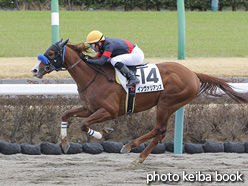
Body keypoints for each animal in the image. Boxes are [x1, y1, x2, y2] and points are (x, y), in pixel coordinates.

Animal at [31, 39, 248, 167]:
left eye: (51, 53)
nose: (35, 70)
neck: (93, 76)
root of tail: (193, 74)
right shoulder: (89, 108)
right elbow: (66, 114)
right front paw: (65, 143)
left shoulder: (109, 110)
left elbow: (85, 125)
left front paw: (103, 133)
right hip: (169, 105)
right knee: (159, 133)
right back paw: (138, 157)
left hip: (167, 103)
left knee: (159, 129)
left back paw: (130, 147)